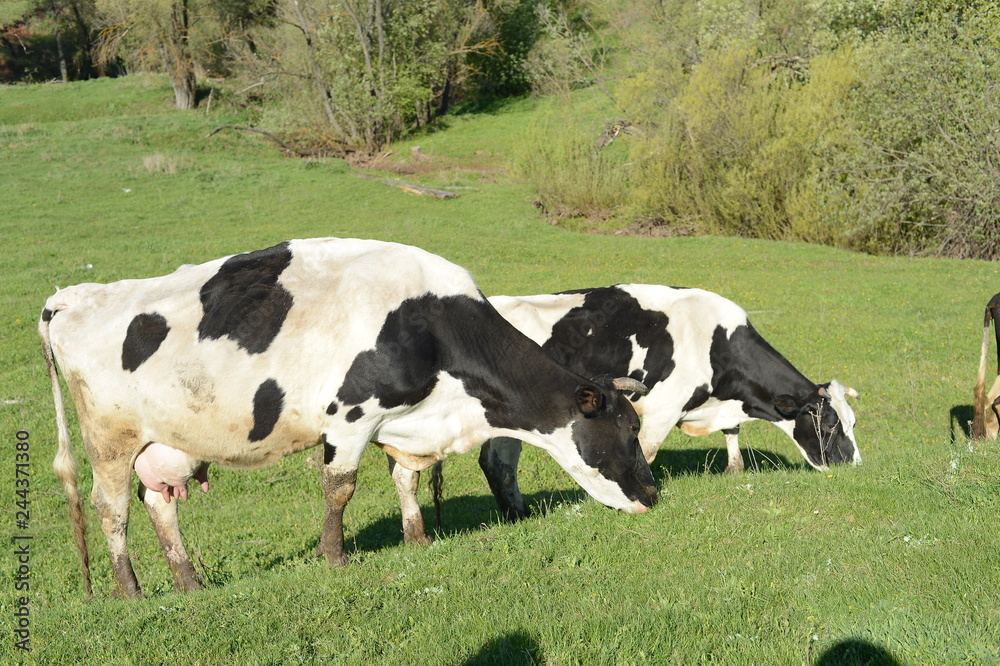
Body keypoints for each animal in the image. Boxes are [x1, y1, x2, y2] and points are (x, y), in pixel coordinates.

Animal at [41, 237, 656, 596]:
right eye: (629, 430)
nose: (654, 495)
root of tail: (74, 296)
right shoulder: (351, 417)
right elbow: (340, 488)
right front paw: (333, 557)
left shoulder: (401, 422)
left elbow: (406, 480)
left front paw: (416, 540)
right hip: (110, 440)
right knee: (112, 510)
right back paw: (130, 590)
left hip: (168, 443)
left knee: (159, 504)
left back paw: (189, 584)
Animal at [398, 282, 860, 528]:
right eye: (831, 425)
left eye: (853, 423)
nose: (854, 466)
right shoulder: (664, 407)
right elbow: (647, 451)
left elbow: (732, 432)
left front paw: (735, 467)